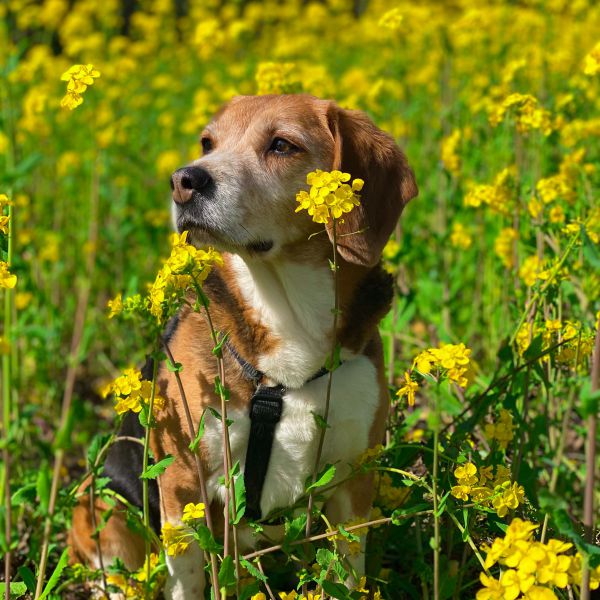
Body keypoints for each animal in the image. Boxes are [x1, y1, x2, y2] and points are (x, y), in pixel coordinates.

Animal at [68, 91, 418, 596]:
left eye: (282, 145)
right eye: (207, 142)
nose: (183, 181)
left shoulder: (354, 481)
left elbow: (347, 573)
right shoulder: (183, 483)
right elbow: (189, 576)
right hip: (102, 505)